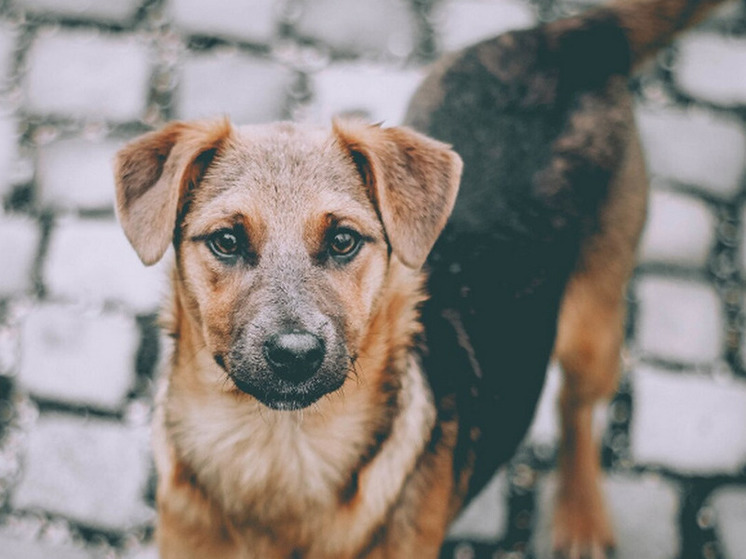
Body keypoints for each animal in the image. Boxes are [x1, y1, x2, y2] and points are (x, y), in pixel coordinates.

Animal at [113, 1, 724, 559]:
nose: (295, 354)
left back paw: (581, 514)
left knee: (575, 412)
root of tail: (566, 36)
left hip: (593, 325)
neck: (279, 454)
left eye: (343, 240)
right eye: (226, 241)